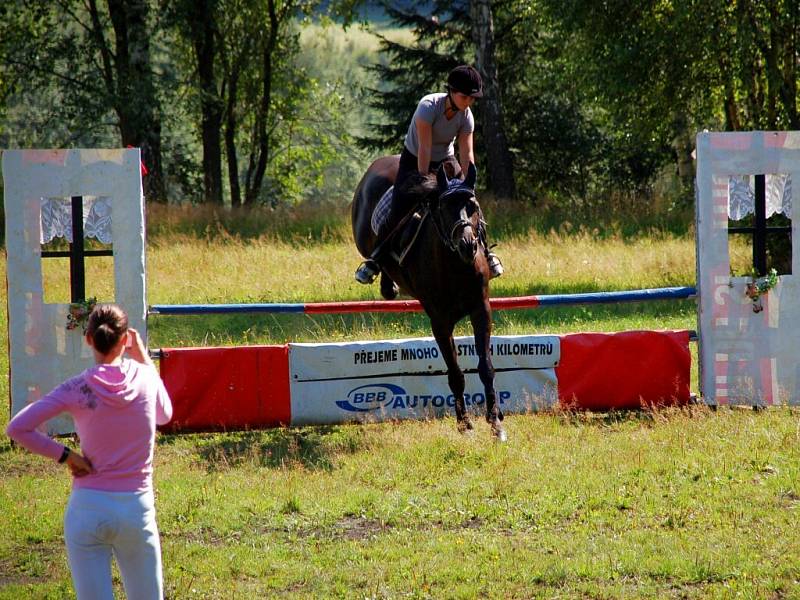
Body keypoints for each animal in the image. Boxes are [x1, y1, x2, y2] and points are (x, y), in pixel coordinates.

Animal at [352, 154, 506, 440]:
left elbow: (486, 367)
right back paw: (380, 276)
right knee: (379, 258)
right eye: (444, 208)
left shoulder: (481, 310)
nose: (468, 245)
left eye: (473, 206)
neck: (455, 264)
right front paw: (465, 424)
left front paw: (495, 422)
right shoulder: (440, 321)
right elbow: (455, 373)